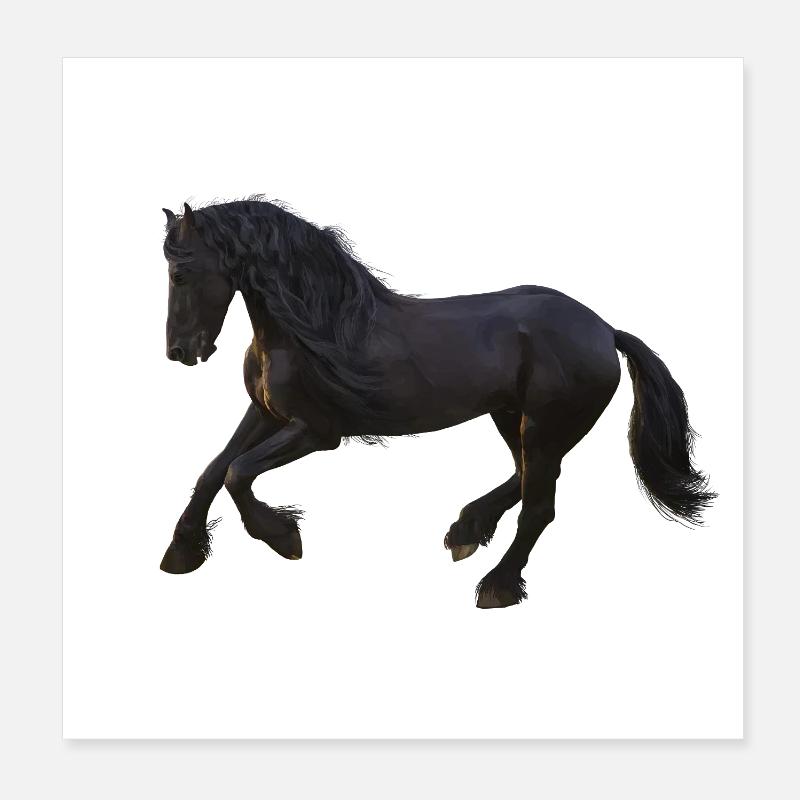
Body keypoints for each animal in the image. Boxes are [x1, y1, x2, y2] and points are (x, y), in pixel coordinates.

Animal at [159, 197, 715, 609]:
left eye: (181, 273)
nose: (181, 352)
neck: (311, 328)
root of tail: (605, 330)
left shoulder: (317, 431)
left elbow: (238, 473)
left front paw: (282, 537)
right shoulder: (265, 413)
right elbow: (214, 470)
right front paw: (181, 551)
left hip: (544, 426)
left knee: (539, 506)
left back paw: (497, 585)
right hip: (511, 417)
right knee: (524, 479)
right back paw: (466, 529)